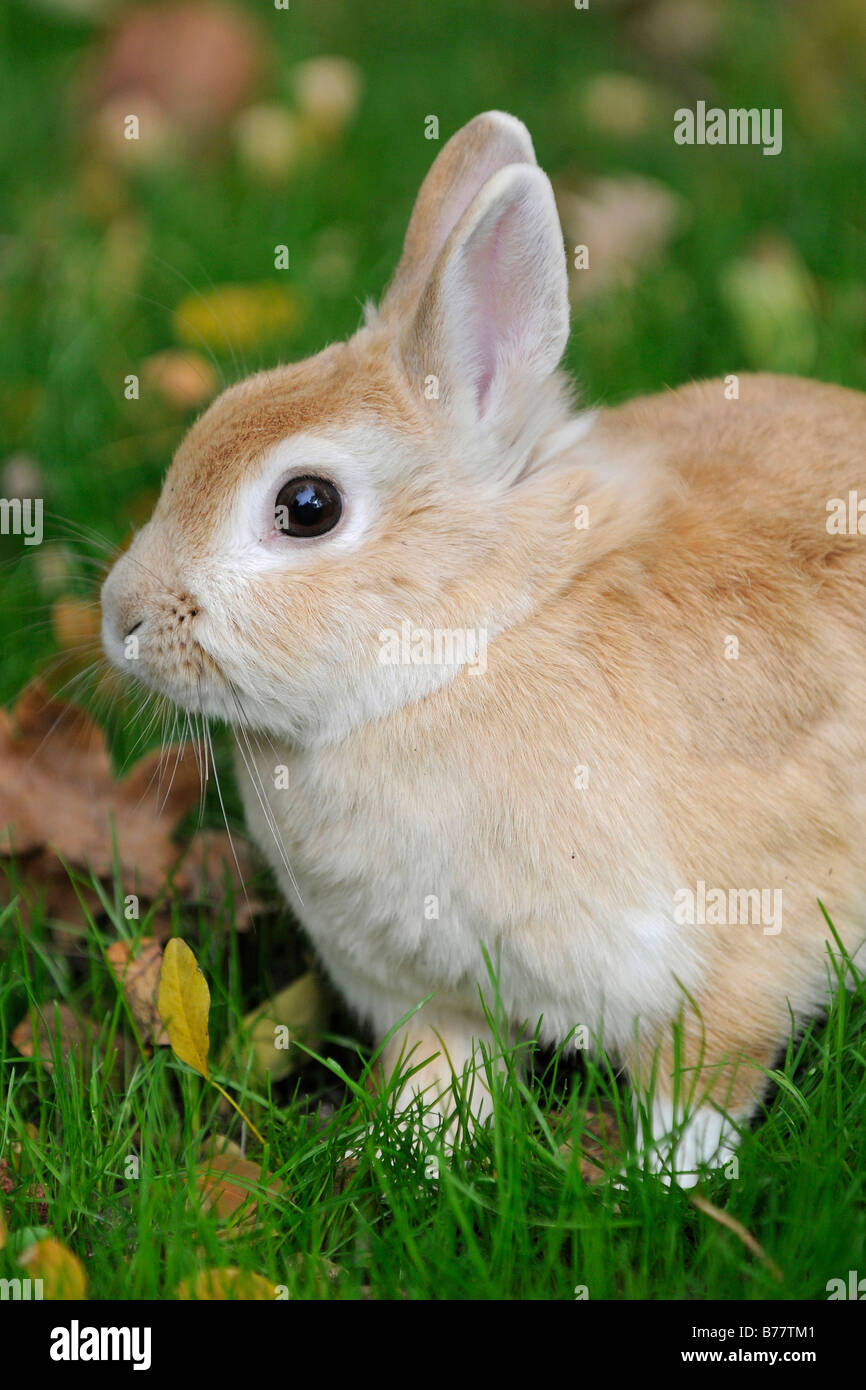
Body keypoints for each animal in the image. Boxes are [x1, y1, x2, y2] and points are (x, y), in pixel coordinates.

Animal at [101, 111, 866, 1186]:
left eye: (308, 506)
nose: (118, 617)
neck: (472, 642)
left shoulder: (736, 960)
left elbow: (700, 1092)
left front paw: (654, 1187)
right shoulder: (427, 991)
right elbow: (441, 1075)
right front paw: (409, 1158)